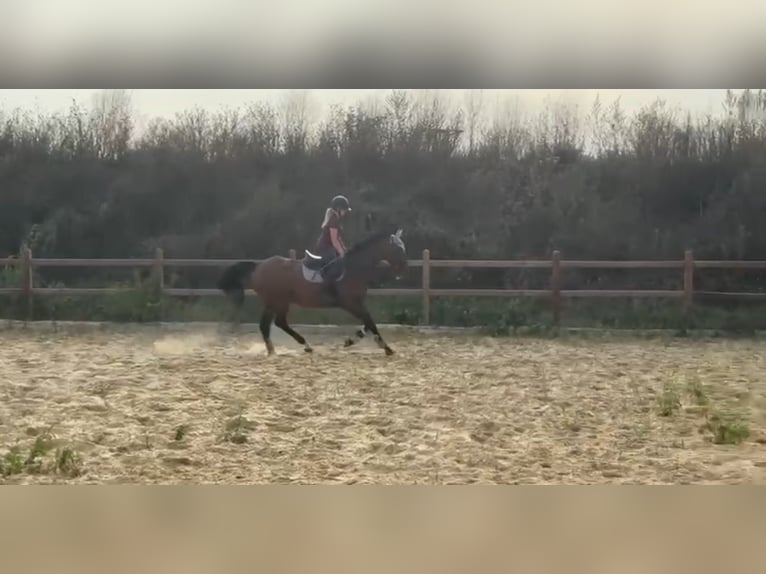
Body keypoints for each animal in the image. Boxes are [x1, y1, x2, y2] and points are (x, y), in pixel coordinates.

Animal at [216, 228, 412, 356]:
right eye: (398, 248)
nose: (404, 268)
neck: (355, 268)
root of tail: (259, 267)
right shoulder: (351, 304)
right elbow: (371, 323)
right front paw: (386, 348)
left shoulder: (357, 303)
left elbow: (367, 324)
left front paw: (351, 341)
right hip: (277, 301)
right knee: (274, 324)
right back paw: (290, 348)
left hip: (277, 302)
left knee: (272, 324)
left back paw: (288, 348)